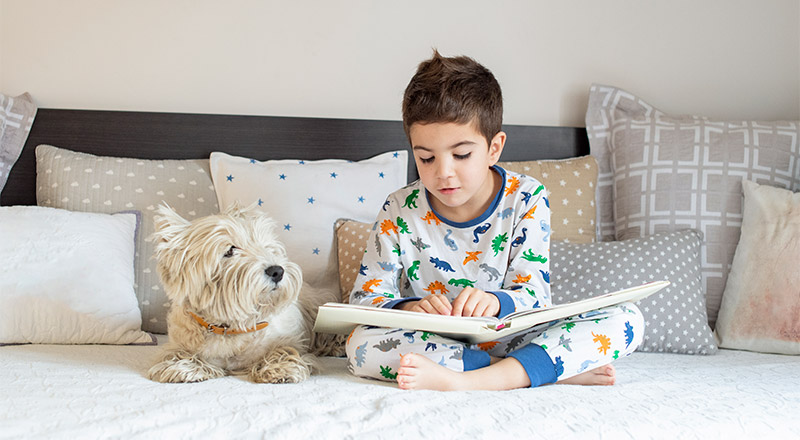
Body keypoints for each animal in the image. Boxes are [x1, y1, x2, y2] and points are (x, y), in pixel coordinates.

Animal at [148, 203, 342, 382]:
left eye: (266, 247)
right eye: (230, 250)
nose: (277, 271)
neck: (229, 328)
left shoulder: (292, 339)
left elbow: (285, 350)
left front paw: (281, 368)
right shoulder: (177, 343)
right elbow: (176, 354)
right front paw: (183, 368)